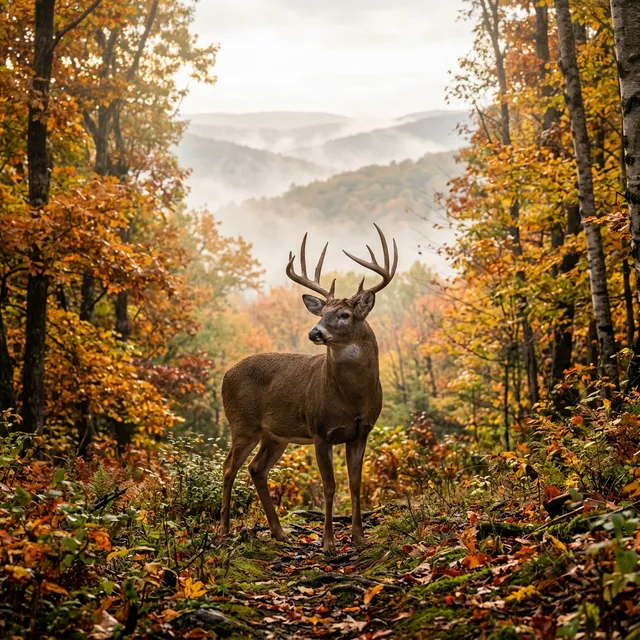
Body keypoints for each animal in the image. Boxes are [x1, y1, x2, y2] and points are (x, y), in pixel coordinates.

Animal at [220, 224, 398, 552]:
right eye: (321, 313)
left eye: (344, 315)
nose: (315, 332)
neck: (351, 399)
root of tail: (225, 375)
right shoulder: (320, 430)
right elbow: (329, 486)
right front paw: (328, 542)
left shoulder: (362, 431)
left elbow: (355, 484)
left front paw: (359, 537)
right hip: (242, 423)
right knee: (229, 468)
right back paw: (224, 530)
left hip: (275, 435)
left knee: (256, 469)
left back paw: (279, 533)